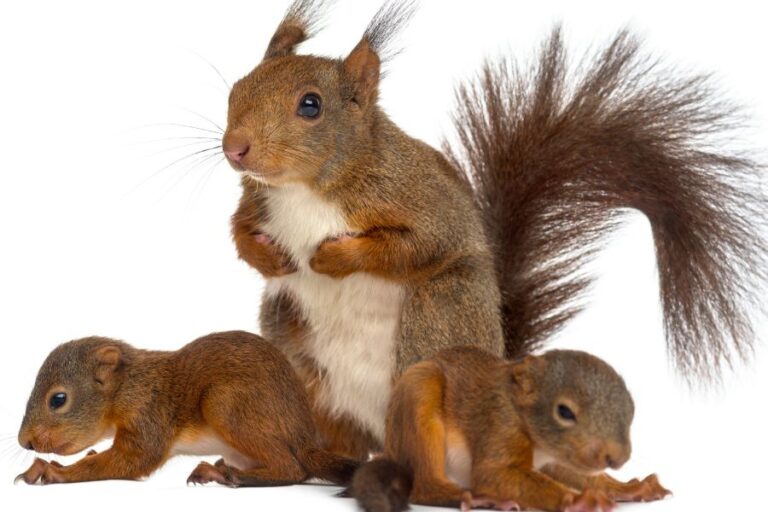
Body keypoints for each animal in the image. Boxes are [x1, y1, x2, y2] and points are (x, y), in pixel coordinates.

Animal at [15, 330, 359, 486]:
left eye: (58, 399)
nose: (24, 441)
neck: (129, 386)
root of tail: (305, 435)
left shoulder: (148, 415)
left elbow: (131, 461)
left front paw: (55, 471)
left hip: (225, 404)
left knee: (293, 469)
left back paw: (230, 475)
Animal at [224, 0, 767, 459]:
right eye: (238, 86)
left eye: (310, 105)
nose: (234, 149)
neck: (304, 189)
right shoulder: (258, 203)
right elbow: (239, 231)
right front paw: (268, 257)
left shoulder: (421, 202)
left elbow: (418, 247)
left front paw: (331, 258)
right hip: (293, 345)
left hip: (436, 314)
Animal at [347, 346, 671, 512]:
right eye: (564, 412)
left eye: (631, 409)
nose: (617, 458)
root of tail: (389, 449)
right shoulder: (499, 423)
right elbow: (492, 473)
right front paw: (576, 501)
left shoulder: (561, 458)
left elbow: (580, 475)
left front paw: (628, 488)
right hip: (418, 396)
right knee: (424, 487)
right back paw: (478, 497)